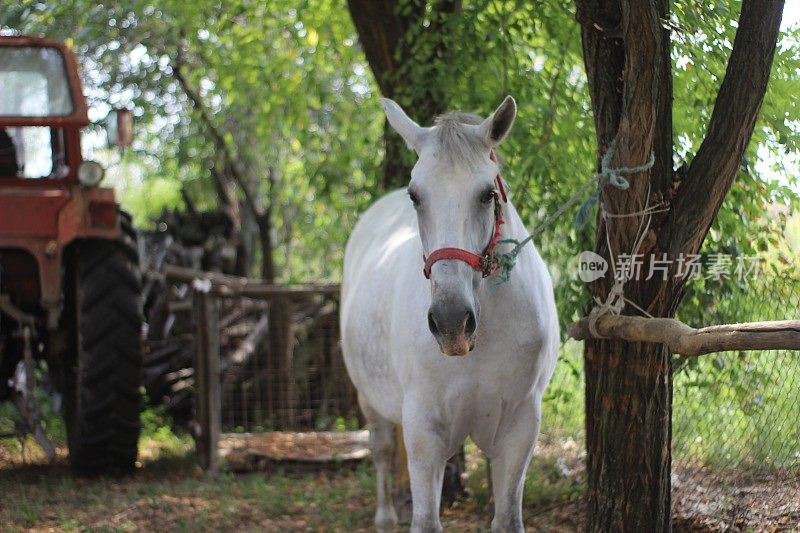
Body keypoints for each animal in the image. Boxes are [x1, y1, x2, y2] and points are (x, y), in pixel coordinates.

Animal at [340, 96, 560, 532]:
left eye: (487, 194)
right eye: (415, 196)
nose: (450, 323)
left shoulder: (519, 428)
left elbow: (507, 519)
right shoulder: (424, 430)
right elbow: (426, 520)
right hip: (370, 400)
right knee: (382, 450)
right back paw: (385, 516)